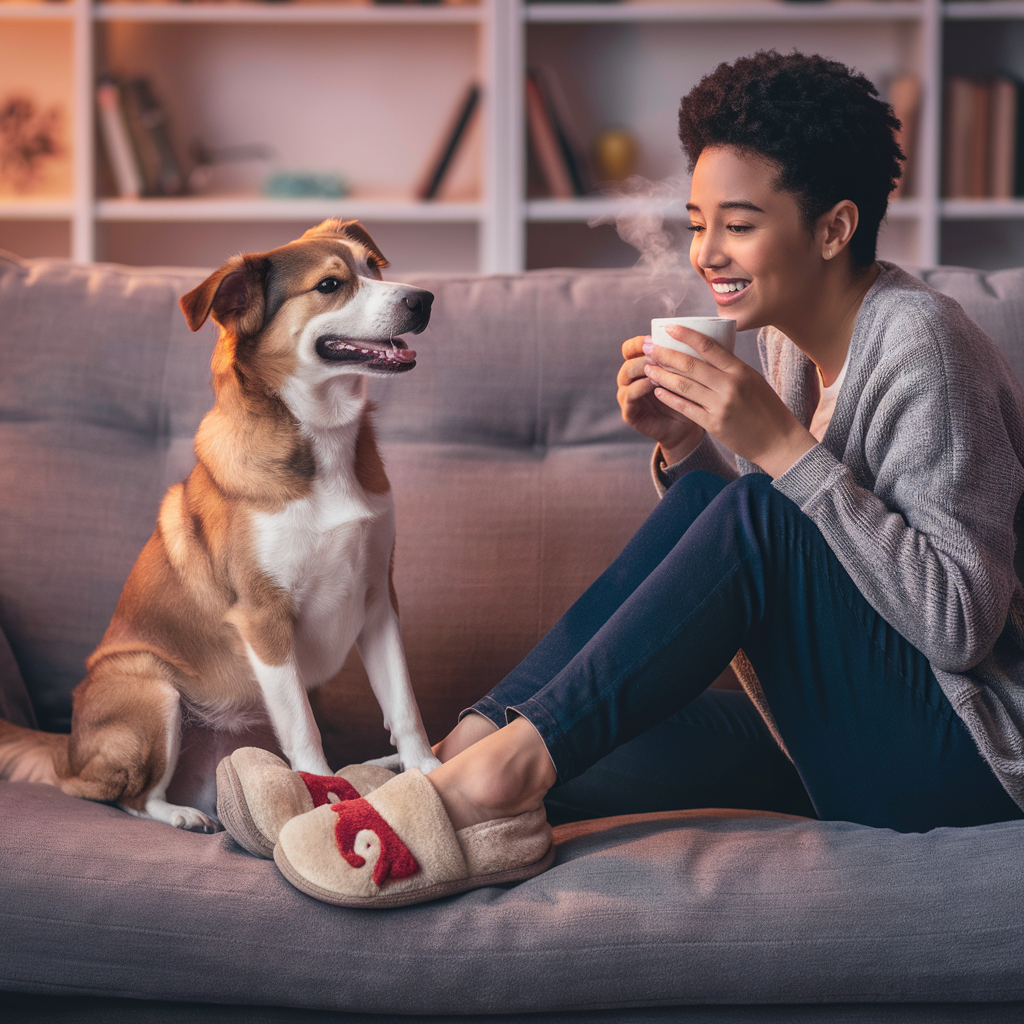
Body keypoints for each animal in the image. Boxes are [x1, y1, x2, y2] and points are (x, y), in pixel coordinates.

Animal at [0, 218, 440, 831]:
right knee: (124, 796)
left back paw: (381, 764)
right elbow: (303, 729)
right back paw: (182, 815)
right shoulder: (263, 618)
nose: (423, 299)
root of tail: (65, 752)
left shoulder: (379, 600)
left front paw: (426, 770)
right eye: (330, 285)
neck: (319, 435)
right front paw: (324, 793)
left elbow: (403, 703)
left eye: (373, 267)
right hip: (151, 688)